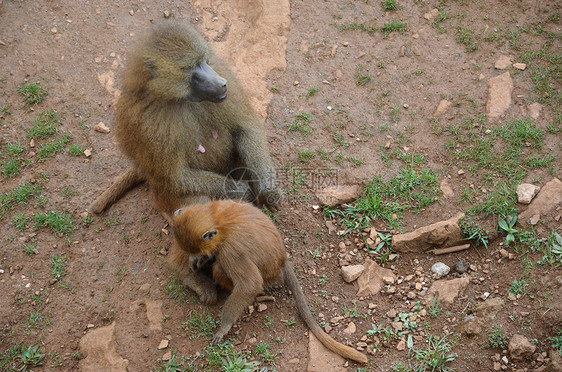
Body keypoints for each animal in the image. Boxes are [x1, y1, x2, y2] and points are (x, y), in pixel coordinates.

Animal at [91, 20, 280, 217]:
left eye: (203, 60)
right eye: (191, 67)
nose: (222, 84)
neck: (175, 97)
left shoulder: (222, 73)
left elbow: (245, 128)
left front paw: (268, 190)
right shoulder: (144, 124)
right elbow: (176, 178)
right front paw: (238, 189)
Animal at [168, 201, 366, 364]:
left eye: (199, 251)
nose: (197, 258)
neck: (220, 220)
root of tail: (282, 259)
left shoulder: (230, 249)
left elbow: (250, 284)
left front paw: (224, 327)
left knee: (221, 269)